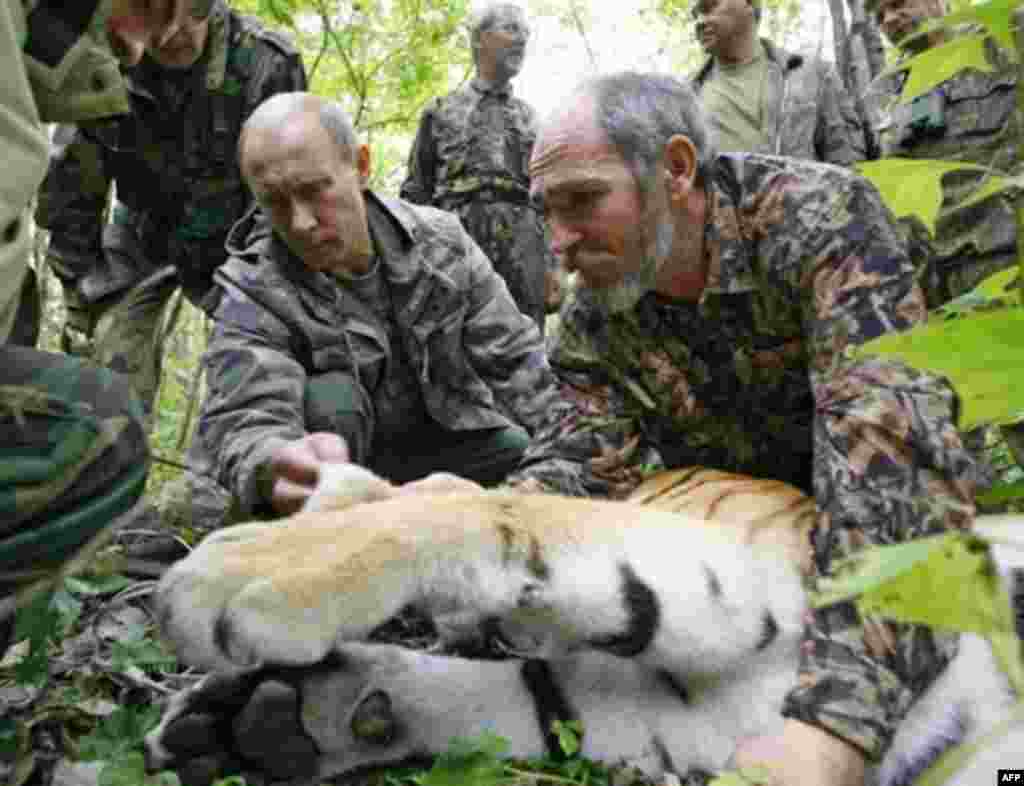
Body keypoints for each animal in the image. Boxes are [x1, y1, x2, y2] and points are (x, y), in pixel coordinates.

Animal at [144, 464, 1022, 786]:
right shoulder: (687, 712)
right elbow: (523, 694)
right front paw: (261, 722)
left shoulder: (768, 579)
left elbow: (490, 503)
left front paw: (260, 563)